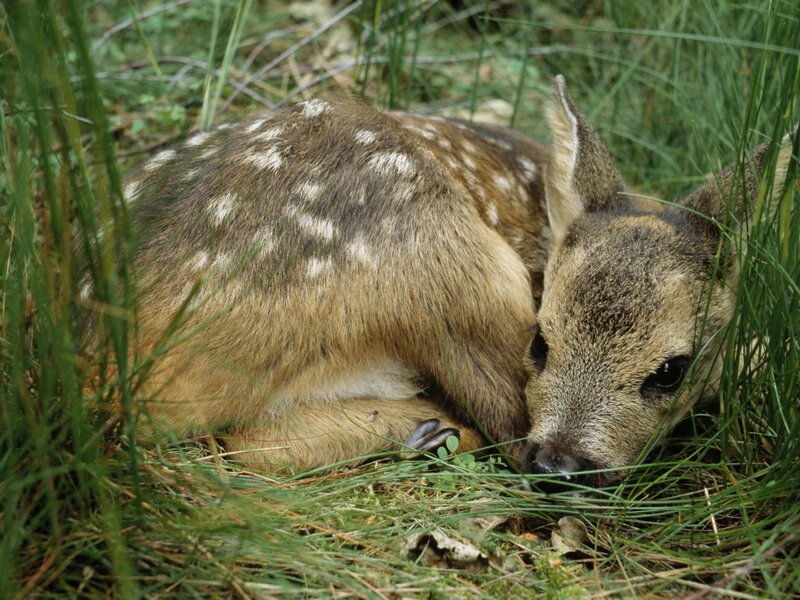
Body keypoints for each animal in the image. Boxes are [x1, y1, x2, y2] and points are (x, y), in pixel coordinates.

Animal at [110, 76, 794, 481]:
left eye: (672, 369)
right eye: (540, 341)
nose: (560, 465)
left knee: (243, 441)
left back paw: (418, 431)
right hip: (447, 251)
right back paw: (433, 431)